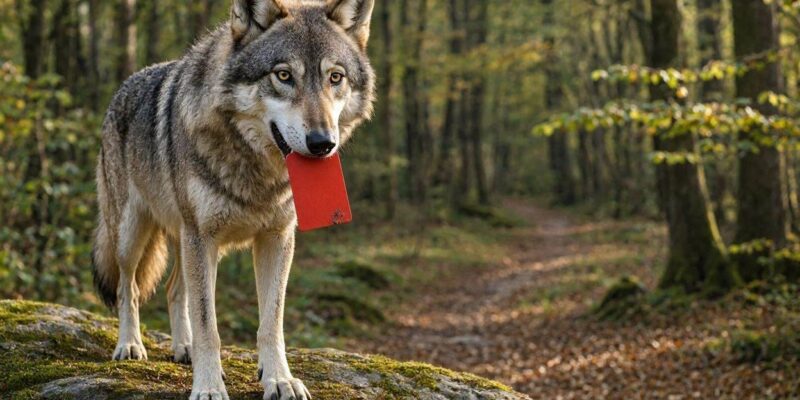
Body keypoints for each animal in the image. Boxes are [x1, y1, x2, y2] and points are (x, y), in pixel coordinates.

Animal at [92, 1, 375, 399]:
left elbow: (271, 322)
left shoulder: (276, 238)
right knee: (126, 288)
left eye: (335, 78)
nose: (322, 143)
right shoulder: (202, 237)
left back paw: (184, 348)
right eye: (283, 75)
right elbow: (209, 325)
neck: (257, 171)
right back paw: (131, 345)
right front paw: (209, 386)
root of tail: (123, 88)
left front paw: (279, 379)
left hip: (187, 242)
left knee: (174, 289)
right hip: (133, 235)